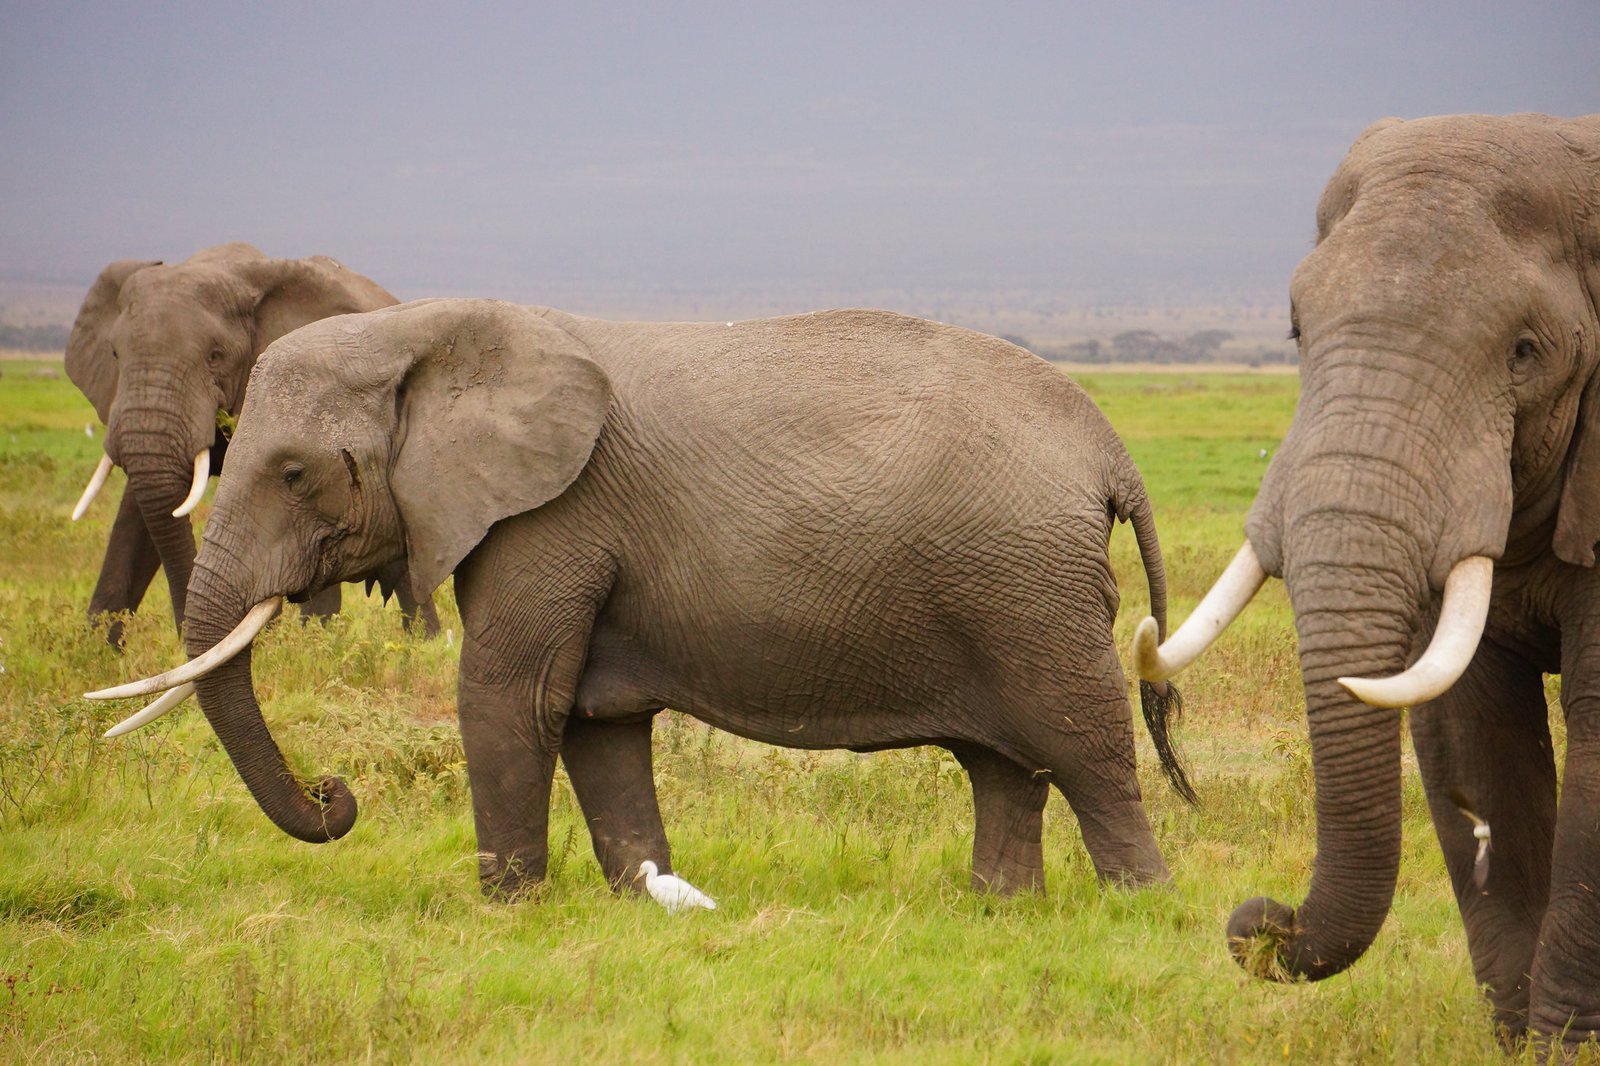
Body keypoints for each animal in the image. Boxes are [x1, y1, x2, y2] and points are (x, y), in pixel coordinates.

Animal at [64, 242, 439, 644]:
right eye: (115, 354)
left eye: (216, 356)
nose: (181, 632)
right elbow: (136, 516)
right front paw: (96, 648)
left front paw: (283, 644)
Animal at [90, 298, 1196, 902]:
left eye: (291, 474)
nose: (334, 792)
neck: (428, 333)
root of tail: (1112, 454)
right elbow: (597, 720)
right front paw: (643, 897)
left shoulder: (551, 515)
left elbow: (509, 697)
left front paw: (505, 909)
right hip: (1002, 583)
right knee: (1004, 765)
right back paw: (999, 909)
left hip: (1028, 589)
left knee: (1084, 746)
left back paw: (1142, 910)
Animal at [1131, 114, 1600, 1048]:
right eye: (1295, 335)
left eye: (1525, 353)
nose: (1262, 922)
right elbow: (1472, 737)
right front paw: (1519, 1047)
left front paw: (1564, 1048)